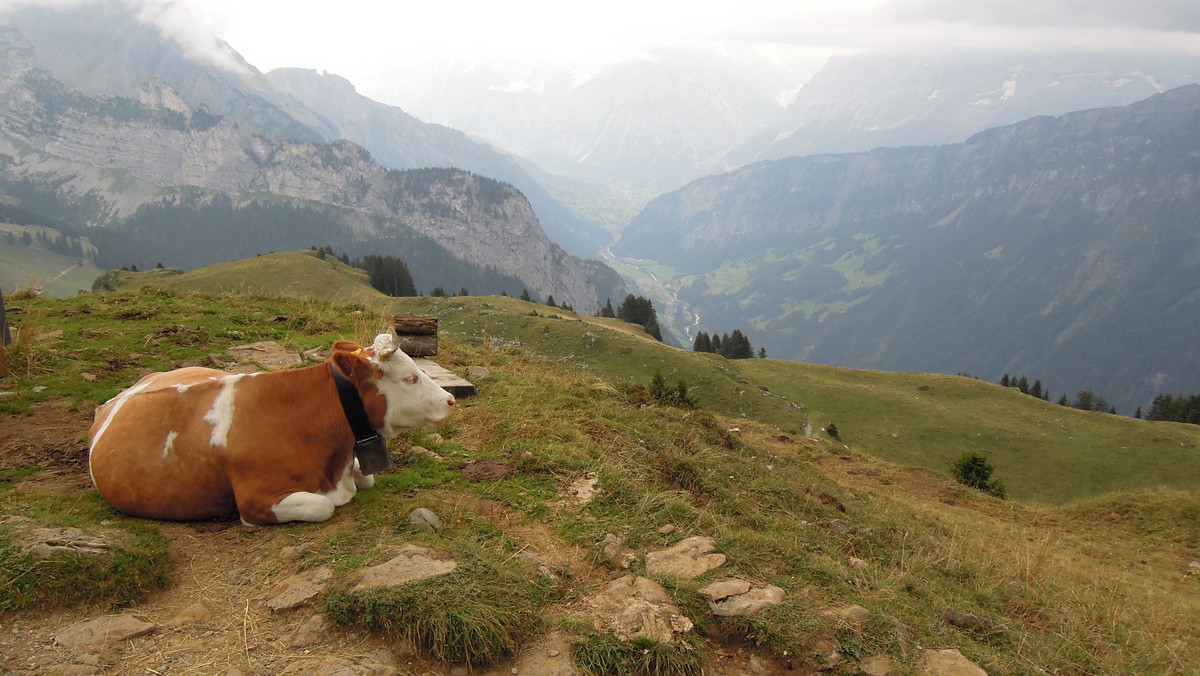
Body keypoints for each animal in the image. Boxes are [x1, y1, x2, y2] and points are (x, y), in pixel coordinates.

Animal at [87, 333, 453, 528]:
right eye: (410, 378)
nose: (449, 400)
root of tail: (121, 394)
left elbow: (366, 476)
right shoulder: (254, 500)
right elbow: (321, 506)